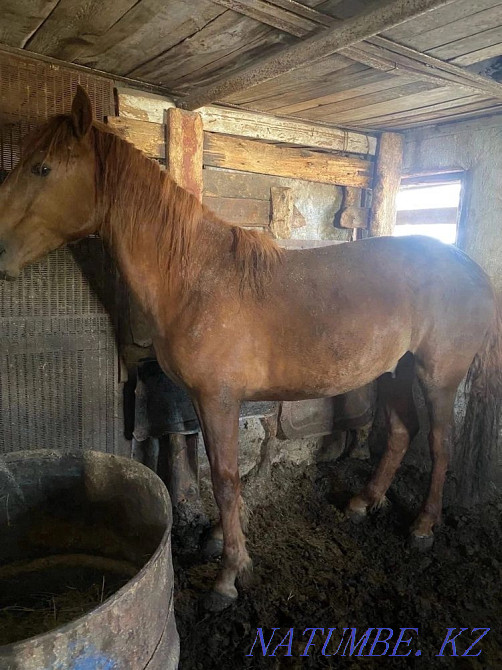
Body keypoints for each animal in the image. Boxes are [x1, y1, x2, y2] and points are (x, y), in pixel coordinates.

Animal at [0, 86, 501, 610]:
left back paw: (423, 527)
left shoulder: (219, 398)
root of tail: (471, 268)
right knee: (403, 433)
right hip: (396, 371)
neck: (197, 278)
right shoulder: (205, 401)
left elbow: (224, 478)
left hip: (437, 377)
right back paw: (363, 503)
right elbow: (217, 473)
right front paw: (223, 542)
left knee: (441, 445)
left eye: (42, 168)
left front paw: (229, 575)